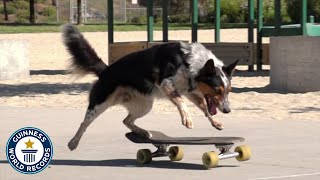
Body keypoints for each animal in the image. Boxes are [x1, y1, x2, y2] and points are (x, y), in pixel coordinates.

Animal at [62, 23, 238, 150]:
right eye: (217, 90)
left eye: (228, 91)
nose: (228, 110)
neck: (190, 62)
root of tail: (105, 70)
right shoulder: (166, 84)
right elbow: (181, 102)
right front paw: (187, 119)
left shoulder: (190, 92)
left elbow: (204, 108)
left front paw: (215, 122)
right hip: (100, 104)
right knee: (84, 123)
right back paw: (73, 142)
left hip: (145, 106)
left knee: (126, 120)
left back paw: (142, 132)